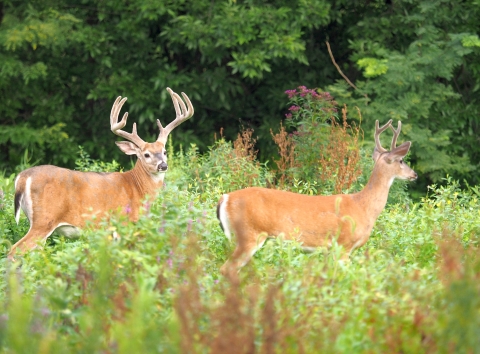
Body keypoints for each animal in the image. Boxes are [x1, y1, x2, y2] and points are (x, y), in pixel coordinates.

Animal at [10, 86, 193, 258]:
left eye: (165, 151)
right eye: (146, 154)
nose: (163, 165)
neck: (138, 187)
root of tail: (22, 178)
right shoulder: (125, 222)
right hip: (44, 220)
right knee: (14, 250)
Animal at [217, 119, 416, 274]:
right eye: (401, 161)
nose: (414, 174)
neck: (363, 207)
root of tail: (224, 198)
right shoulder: (344, 244)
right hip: (249, 234)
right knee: (226, 269)